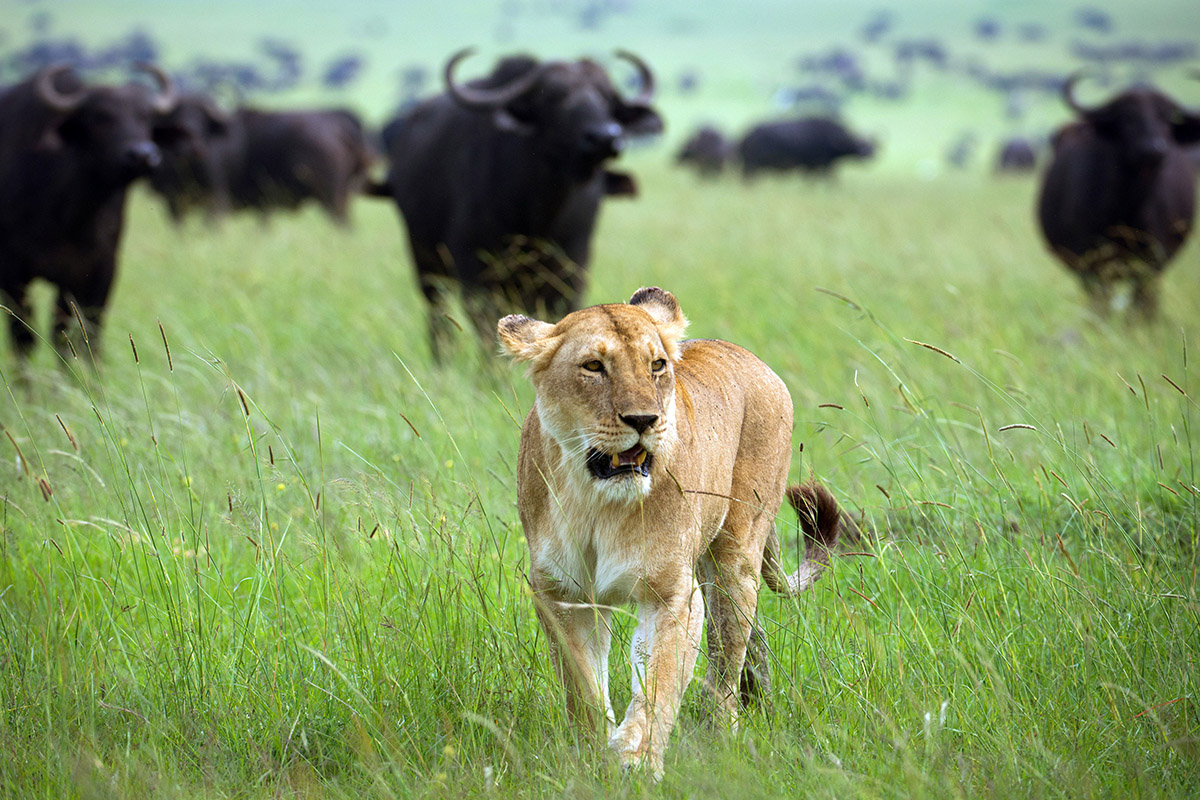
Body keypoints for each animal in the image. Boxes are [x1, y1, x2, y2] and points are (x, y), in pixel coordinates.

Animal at [498, 286, 841, 778]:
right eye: (593, 366)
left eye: (656, 365)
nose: (644, 420)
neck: (596, 502)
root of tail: (752, 358)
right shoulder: (562, 595)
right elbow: (583, 687)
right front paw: (593, 758)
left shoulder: (671, 593)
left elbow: (659, 680)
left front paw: (636, 759)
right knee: (749, 640)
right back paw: (760, 701)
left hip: (734, 558)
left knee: (726, 659)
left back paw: (725, 732)